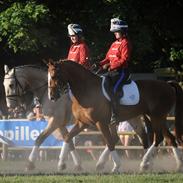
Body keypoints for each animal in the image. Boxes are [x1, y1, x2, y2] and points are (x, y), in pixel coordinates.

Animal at [3, 65, 152, 172]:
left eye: (11, 85)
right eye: (4, 85)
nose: (10, 106)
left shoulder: (55, 121)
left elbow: (40, 138)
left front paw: (30, 164)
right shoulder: (60, 124)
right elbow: (69, 141)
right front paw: (75, 165)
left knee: (133, 137)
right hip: (125, 119)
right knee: (123, 137)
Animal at [46, 59, 183, 172]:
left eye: (53, 76)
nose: (51, 97)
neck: (87, 90)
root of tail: (167, 84)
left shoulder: (100, 122)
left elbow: (109, 142)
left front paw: (116, 166)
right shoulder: (83, 122)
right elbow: (67, 137)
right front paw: (62, 164)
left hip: (156, 117)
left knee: (158, 138)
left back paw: (145, 163)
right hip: (157, 118)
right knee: (169, 138)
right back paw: (177, 165)